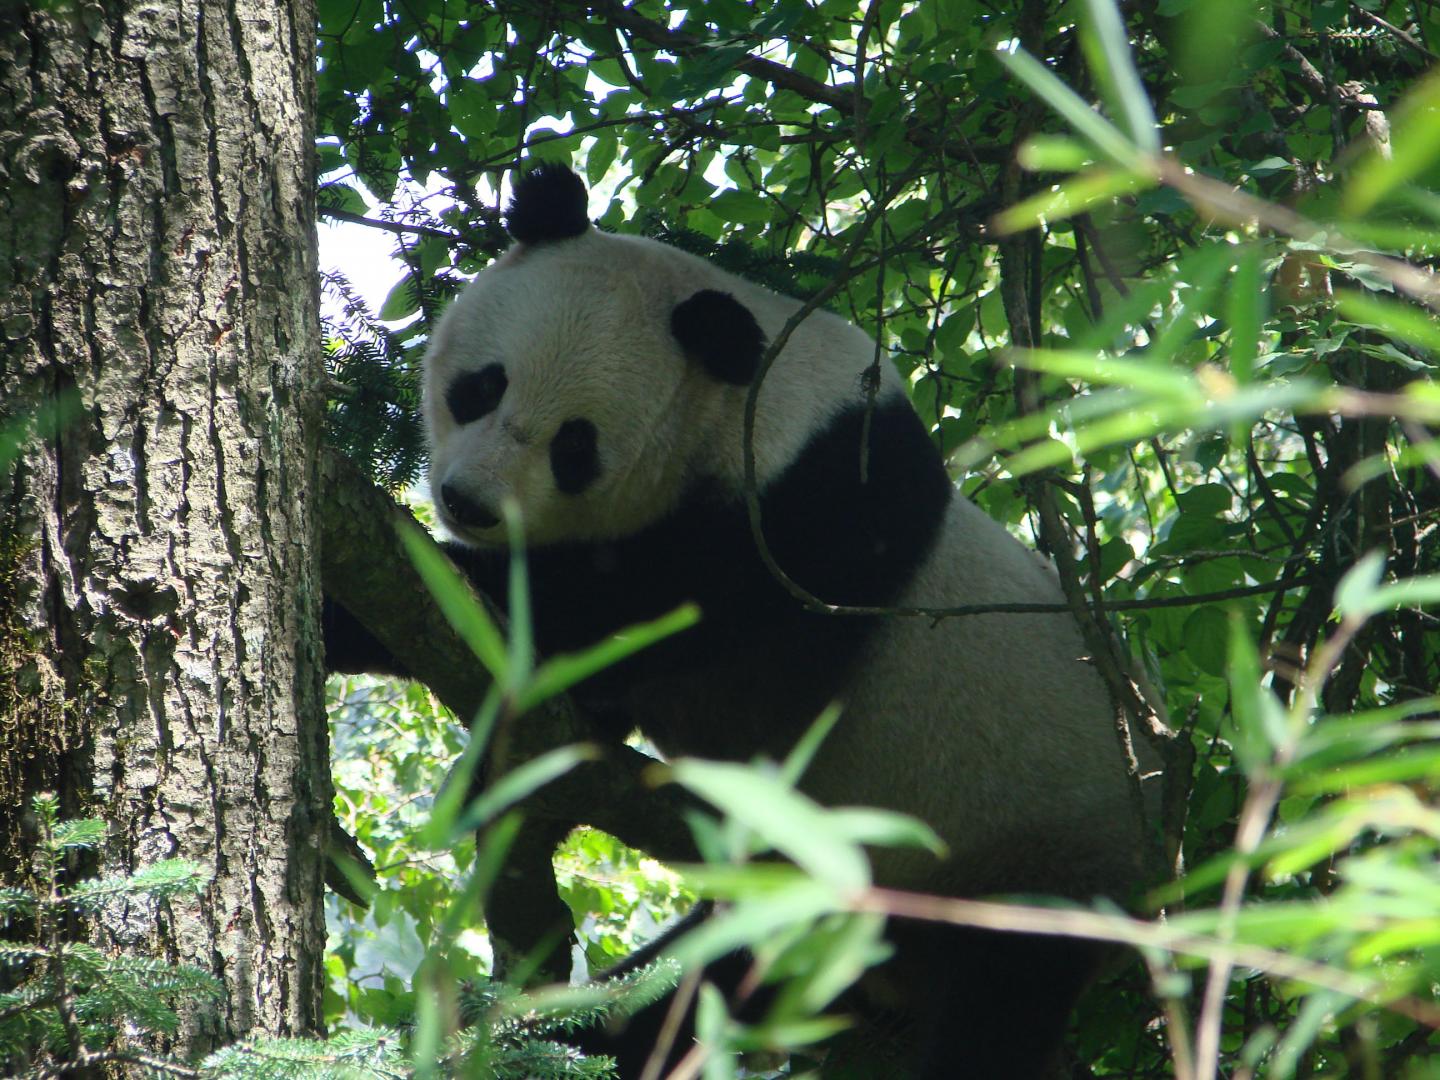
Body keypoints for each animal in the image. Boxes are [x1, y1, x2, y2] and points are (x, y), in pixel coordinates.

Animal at [331, 163, 1156, 1078]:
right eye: (482, 386)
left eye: (573, 447)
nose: (466, 501)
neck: (742, 405)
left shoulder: (817, 512)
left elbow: (629, 615)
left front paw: (356, 607)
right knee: (687, 993)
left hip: (1024, 857)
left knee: (995, 1004)